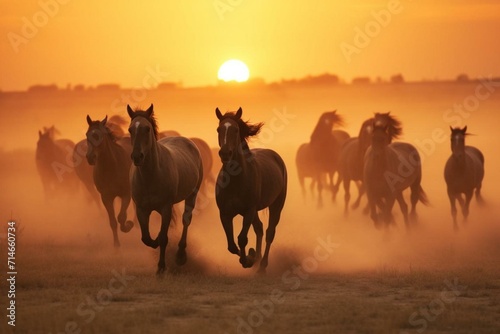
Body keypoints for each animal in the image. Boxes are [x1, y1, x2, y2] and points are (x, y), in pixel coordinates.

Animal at [85, 116, 134, 247]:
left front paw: (128, 225)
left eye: (99, 135)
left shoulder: (126, 194)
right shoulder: (106, 197)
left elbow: (121, 217)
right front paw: (116, 245)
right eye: (87, 134)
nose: (90, 157)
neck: (111, 166)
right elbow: (113, 221)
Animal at [129, 103, 203, 274]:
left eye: (147, 129)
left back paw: (181, 255)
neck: (150, 177)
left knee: (186, 220)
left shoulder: (165, 208)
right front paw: (154, 241)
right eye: (130, 129)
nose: (137, 156)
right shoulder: (141, 209)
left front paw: (161, 268)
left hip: (192, 195)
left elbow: (163, 238)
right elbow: (146, 238)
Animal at [214, 107, 288, 274]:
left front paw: (248, 260)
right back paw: (258, 259)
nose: (225, 154)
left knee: (269, 232)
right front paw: (251, 255)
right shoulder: (224, 213)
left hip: (276, 205)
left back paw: (262, 265)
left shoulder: (248, 210)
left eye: (236, 129)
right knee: (259, 229)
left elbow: (242, 239)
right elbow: (231, 245)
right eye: (218, 129)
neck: (235, 181)